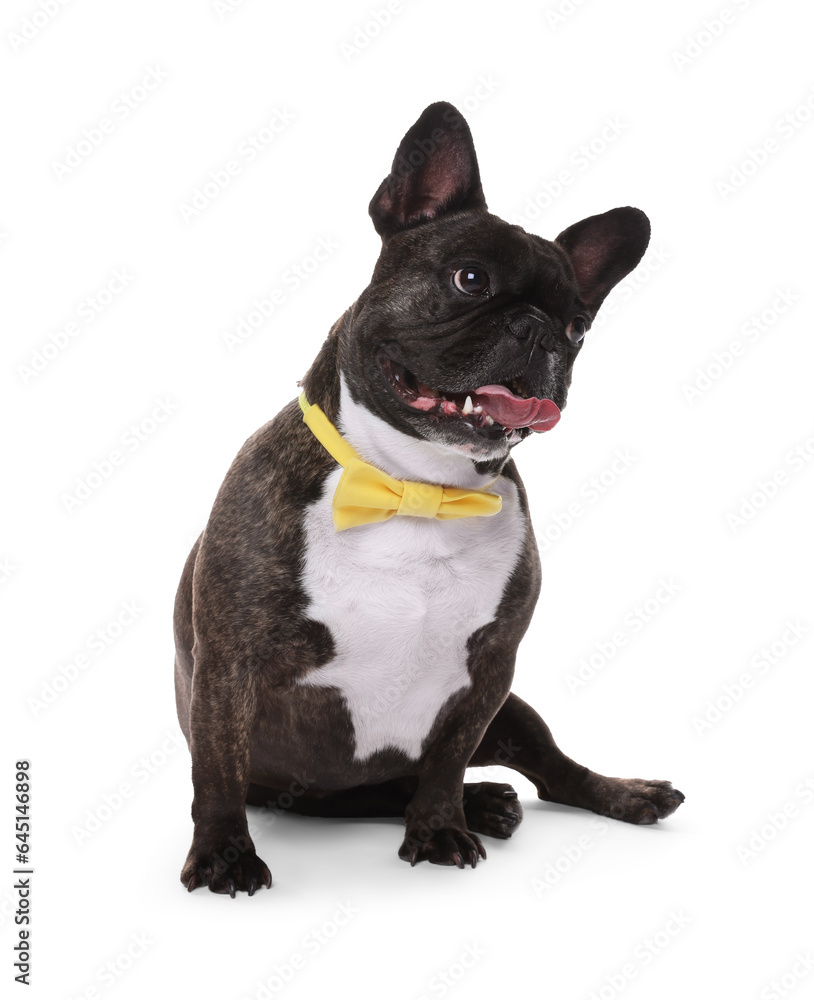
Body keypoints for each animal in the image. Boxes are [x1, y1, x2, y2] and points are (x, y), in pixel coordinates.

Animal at [175, 103, 684, 900]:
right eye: (470, 279)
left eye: (578, 326)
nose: (540, 331)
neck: (416, 487)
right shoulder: (229, 663)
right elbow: (217, 769)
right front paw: (225, 854)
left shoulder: (490, 669)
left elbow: (446, 761)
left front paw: (442, 828)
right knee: (375, 792)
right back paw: (489, 802)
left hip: (517, 712)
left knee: (551, 773)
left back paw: (605, 795)